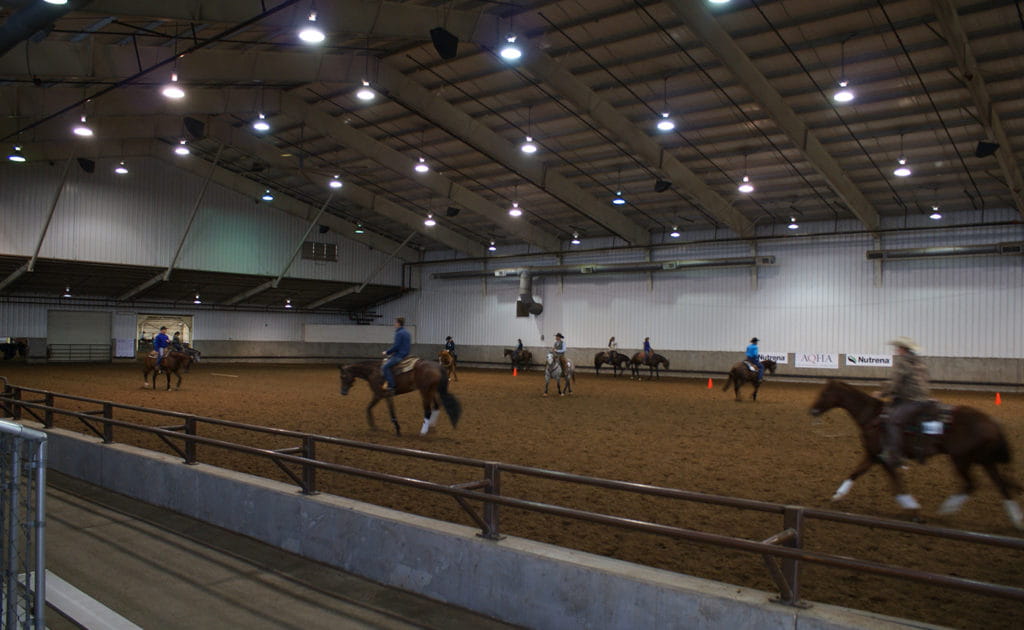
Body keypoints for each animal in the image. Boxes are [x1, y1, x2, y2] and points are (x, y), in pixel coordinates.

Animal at [811, 379, 1019, 532]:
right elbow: (856, 472)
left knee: (971, 484)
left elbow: (896, 485)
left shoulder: (885, 457)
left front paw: (913, 510)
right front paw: (837, 495)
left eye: (824, 393)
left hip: (962, 459)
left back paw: (946, 510)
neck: (873, 418)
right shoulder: (873, 455)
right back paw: (1017, 520)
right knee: (1000, 485)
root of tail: (990, 421)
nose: (812, 410)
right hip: (983, 459)